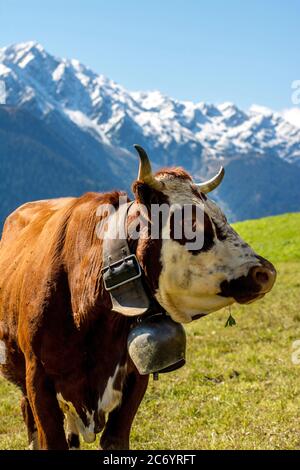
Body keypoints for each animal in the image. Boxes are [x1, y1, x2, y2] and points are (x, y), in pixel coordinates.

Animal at [0, 145, 276, 450]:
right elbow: (51, 438)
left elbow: (115, 439)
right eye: (190, 224)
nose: (266, 272)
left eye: (223, 216)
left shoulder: (134, 376)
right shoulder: (38, 379)